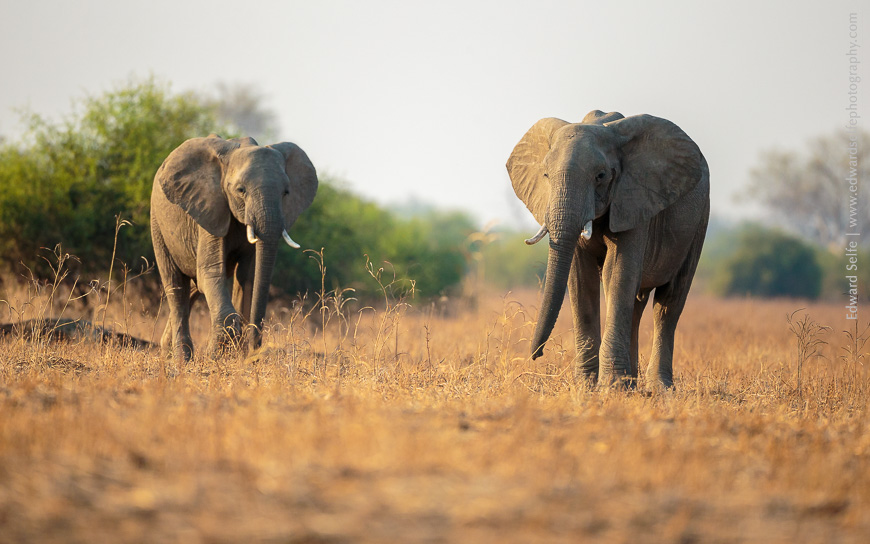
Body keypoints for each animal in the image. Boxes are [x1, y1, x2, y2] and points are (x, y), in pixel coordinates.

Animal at [150, 134, 317, 362]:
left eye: (286, 192)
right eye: (241, 190)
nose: (255, 352)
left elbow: (247, 276)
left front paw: (235, 356)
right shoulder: (210, 208)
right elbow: (211, 272)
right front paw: (215, 357)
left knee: (193, 286)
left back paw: (167, 351)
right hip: (157, 222)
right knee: (175, 285)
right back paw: (181, 359)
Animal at [506, 110, 709, 389]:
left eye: (600, 176)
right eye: (545, 175)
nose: (536, 355)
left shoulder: (634, 198)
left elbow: (618, 272)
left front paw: (611, 387)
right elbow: (581, 279)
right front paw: (587, 385)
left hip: (699, 220)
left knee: (668, 303)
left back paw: (658, 387)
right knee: (636, 304)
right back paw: (631, 382)